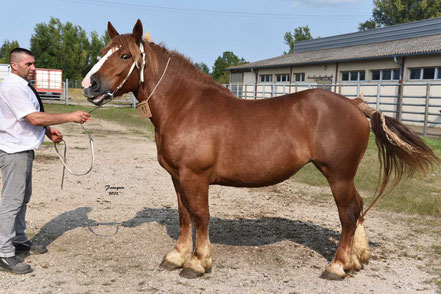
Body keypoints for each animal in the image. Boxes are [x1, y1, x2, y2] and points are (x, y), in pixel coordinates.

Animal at [81, 20, 436, 278]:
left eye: (125, 56)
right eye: (102, 51)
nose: (89, 85)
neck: (186, 107)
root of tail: (354, 104)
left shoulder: (195, 177)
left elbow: (200, 216)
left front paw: (197, 263)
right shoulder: (177, 177)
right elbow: (184, 217)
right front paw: (177, 256)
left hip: (338, 175)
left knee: (348, 214)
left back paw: (336, 266)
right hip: (343, 176)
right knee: (359, 208)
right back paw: (356, 259)